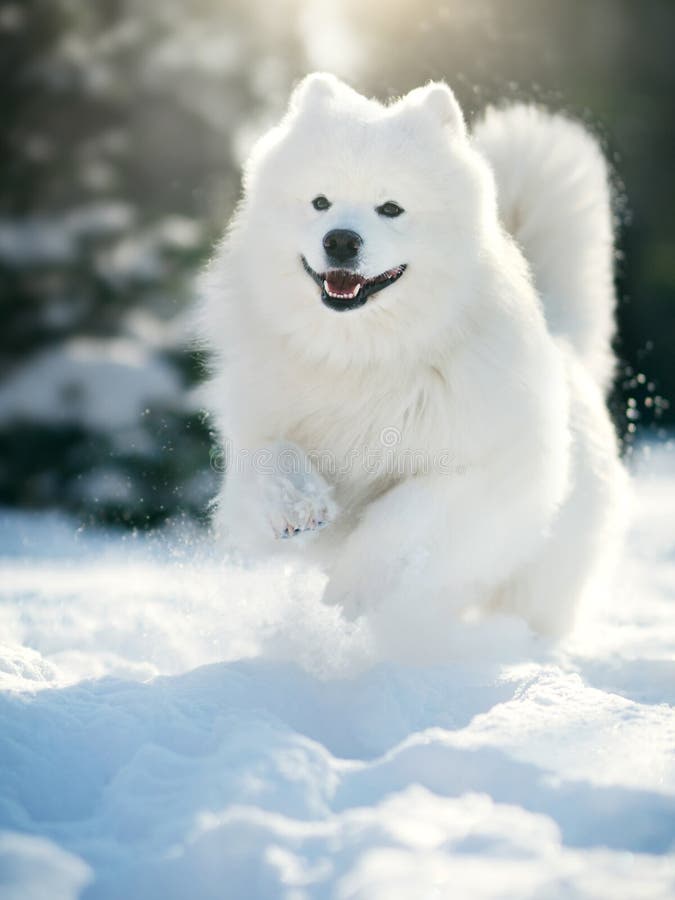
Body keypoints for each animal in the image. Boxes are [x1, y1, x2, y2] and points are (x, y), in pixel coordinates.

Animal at [201, 75, 628, 640]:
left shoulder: (483, 473)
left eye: (390, 208)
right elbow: (272, 461)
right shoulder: (255, 439)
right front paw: (298, 506)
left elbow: (403, 515)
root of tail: (567, 351)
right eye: (320, 201)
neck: (360, 357)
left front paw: (351, 588)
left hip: (539, 583)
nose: (340, 240)